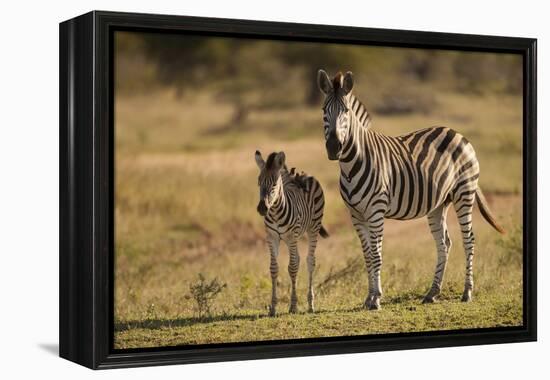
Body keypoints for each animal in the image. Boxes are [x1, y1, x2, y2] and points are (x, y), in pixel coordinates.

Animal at [256, 150, 330, 316]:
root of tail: (302, 173)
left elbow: (292, 267)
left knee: (310, 261)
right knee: (299, 258)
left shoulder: (291, 237)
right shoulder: (271, 237)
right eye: (258, 182)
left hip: (313, 228)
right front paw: (273, 308)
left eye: (274, 184)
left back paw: (310, 304)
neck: (275, 213)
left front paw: (294, 306)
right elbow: (274, 268)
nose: (262, 208)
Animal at [316, 70, 506, 310]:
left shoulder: (376, 211)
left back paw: (467, 292)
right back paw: (432, 293)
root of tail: (456, 133)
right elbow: (367, 255)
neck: (352, 164)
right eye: (324, 110)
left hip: (465, 192)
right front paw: (369, 297)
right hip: (438, 204)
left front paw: (376, 298)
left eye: (346, 112)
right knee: (444, 243)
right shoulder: (356, 215)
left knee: (469, 239)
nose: (334, 148)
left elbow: (376, 254)